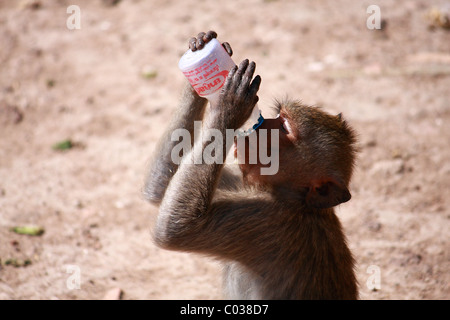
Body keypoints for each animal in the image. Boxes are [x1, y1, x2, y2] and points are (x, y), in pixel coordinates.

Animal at [144, 31, 358, 298]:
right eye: (280, 117)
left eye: (285, 128)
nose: (262, 123)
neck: (297, 201)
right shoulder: (246, 183)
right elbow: (159, 189)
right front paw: (202, 48)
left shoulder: (267, 219)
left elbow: (178, 230)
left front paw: (228, 106)